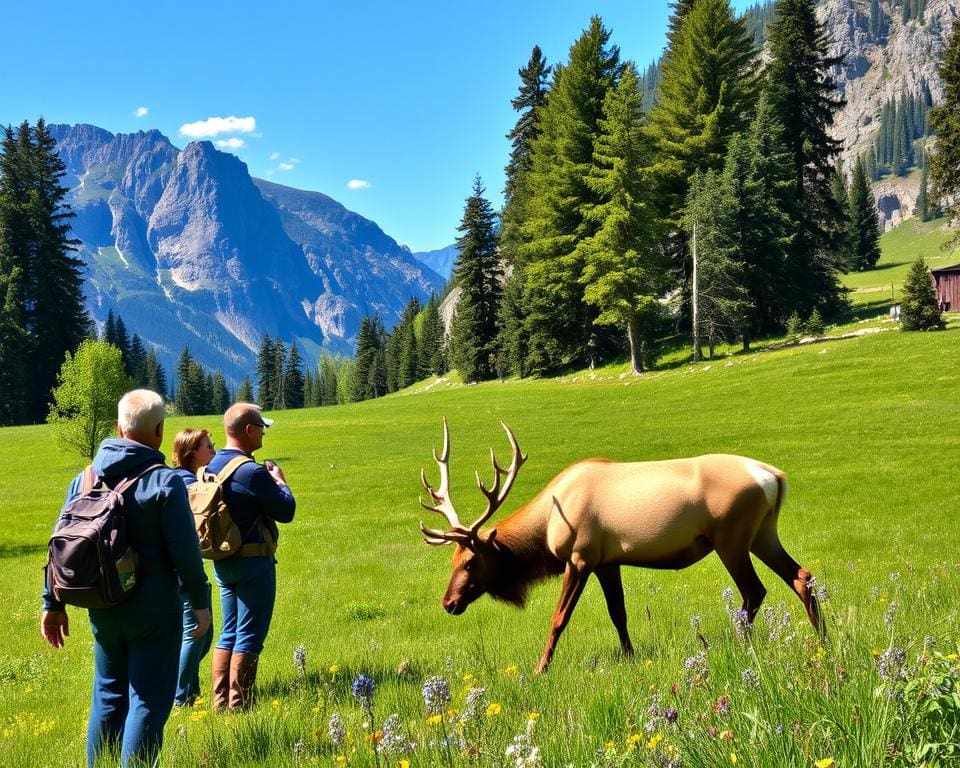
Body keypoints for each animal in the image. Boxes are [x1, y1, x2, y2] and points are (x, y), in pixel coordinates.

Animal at [420, 420, 824, 672]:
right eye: (452, 560)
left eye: (470, 562)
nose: (448, 603)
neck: (546, 530)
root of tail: (774, 476)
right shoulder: (607, 562)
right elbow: (619, 614)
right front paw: (630, 658)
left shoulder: (580, 557)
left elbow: (558, 619)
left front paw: (539, 669)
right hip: (763, 533)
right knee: (802, 577)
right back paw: (822, 641)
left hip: (731, 537)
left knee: (754, 591)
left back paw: (738, 644)